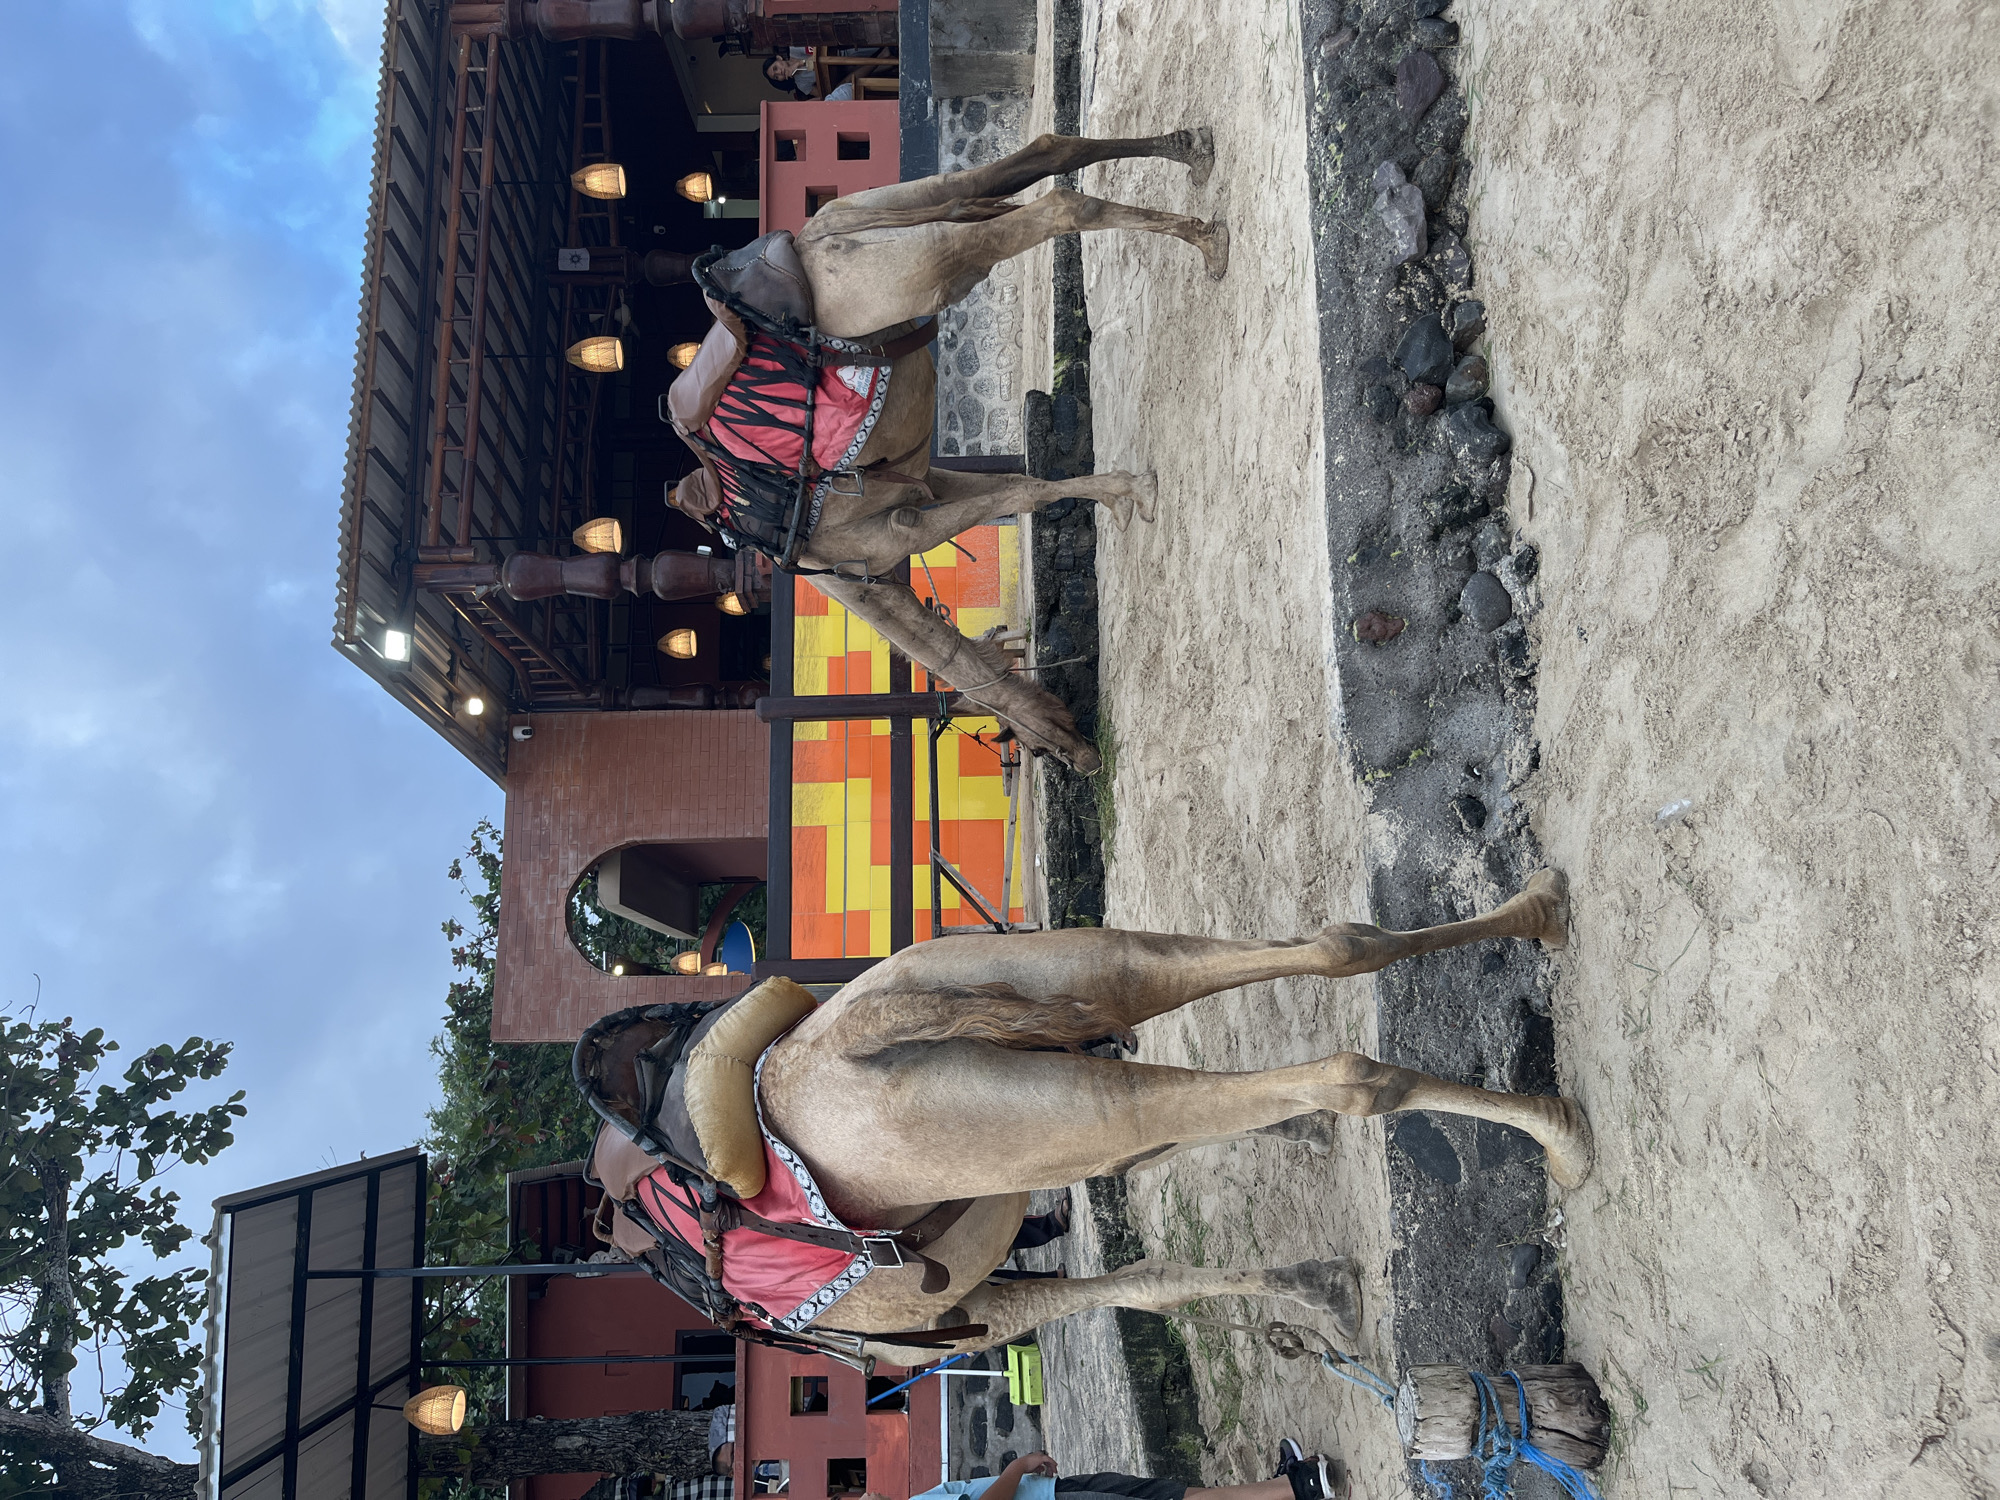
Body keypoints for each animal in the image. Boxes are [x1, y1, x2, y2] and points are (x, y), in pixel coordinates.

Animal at [592, 872, 1589, 1368]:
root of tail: (829, 1052)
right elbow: (1156, 1233)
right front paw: (1312, 1257)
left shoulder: (958, 1313)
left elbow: (1138, 1276)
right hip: (1064, 993)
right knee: (1331, 952)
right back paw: (1545, 922)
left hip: (1001, 1094)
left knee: (1341, 1073)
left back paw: (1561, 1135)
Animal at [669, 129, 1231, 773]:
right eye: (1028, 742)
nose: (1080, 758)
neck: (845, 579)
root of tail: (810, 242)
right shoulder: (924, 485)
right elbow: (1022, 489)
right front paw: (1121, 489)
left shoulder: (896, 533)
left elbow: (1018, 495)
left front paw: (1131, 490)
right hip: (900, 211)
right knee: (1037, 158)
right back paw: (1195, 155)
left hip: (924, 266)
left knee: (1056, 208)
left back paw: (1210, 241)